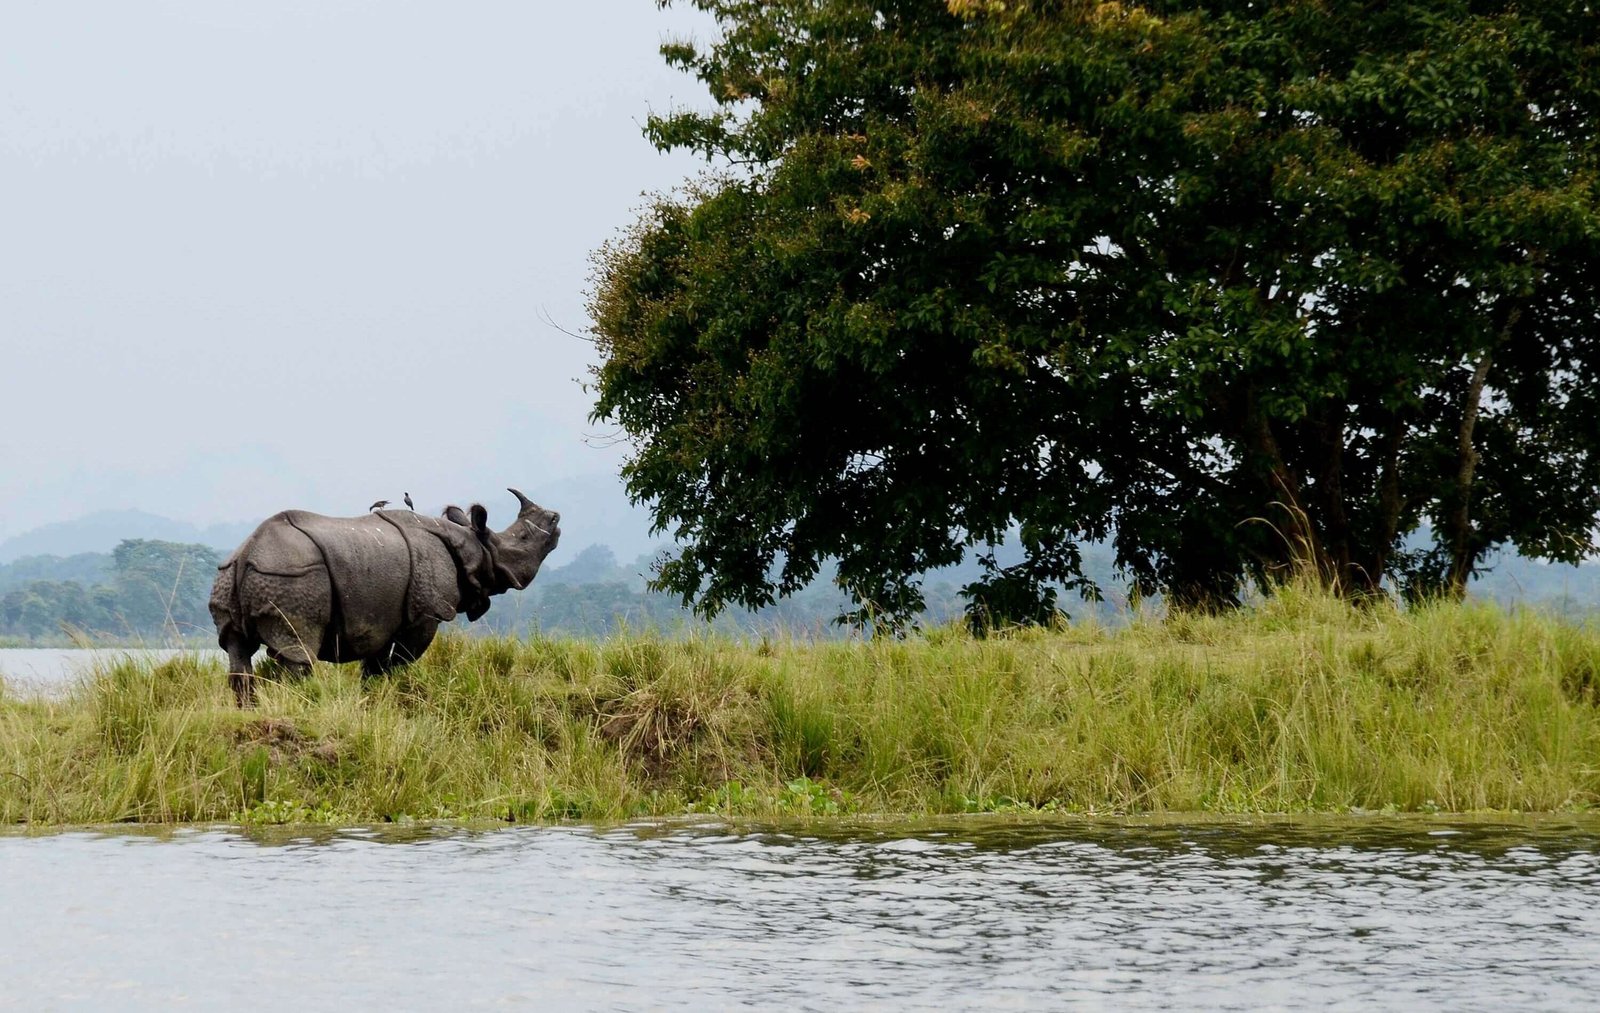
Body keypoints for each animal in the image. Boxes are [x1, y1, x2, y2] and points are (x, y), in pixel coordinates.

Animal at [210, 488, 560, 705]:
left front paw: (371, 699)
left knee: (236, 647)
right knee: (298, 652)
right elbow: (401, 660)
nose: (556, 521)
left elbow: (374, 667)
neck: (471, 543)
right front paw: (396, 692)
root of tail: (248, 552)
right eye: (524, 539)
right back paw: (299, 705)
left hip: (229, 575)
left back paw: (250, 710)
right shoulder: (425, 613)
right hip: (291, 576)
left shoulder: (381, 617)